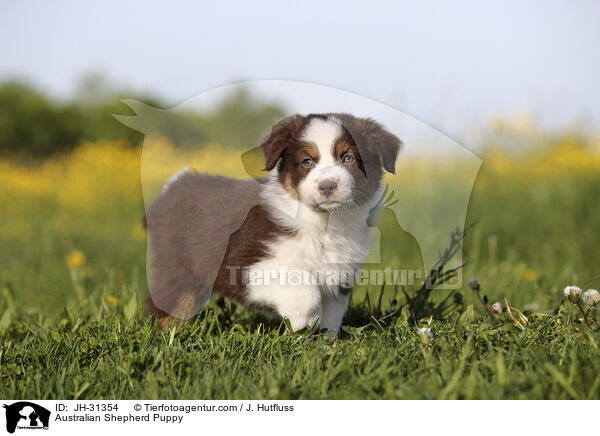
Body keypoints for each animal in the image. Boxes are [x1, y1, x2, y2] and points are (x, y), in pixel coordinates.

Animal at [143, 111, 400, 334]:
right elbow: (303, 287)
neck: (324, 223)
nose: (327, 186)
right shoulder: (245, 265)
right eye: (307, 161)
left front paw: (322, 344)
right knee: (166, 308)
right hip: (177, 267)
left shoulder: (339, 276)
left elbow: (332, 316)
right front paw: (303, 322)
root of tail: (174, 184)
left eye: (348, 158)